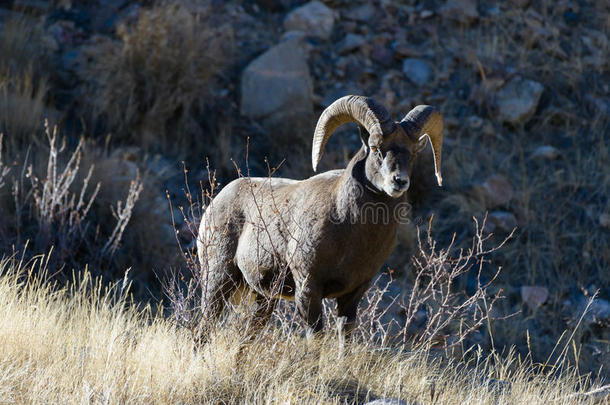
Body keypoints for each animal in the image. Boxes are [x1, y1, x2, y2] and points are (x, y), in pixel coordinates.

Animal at [200, 95, 442, 334]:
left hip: (262, 299)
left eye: (413, 153)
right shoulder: (308, 290)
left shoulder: (352, 295)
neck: (351, 231)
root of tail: (216, 202)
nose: (399, 181)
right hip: (218, 281)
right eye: (375, 148)